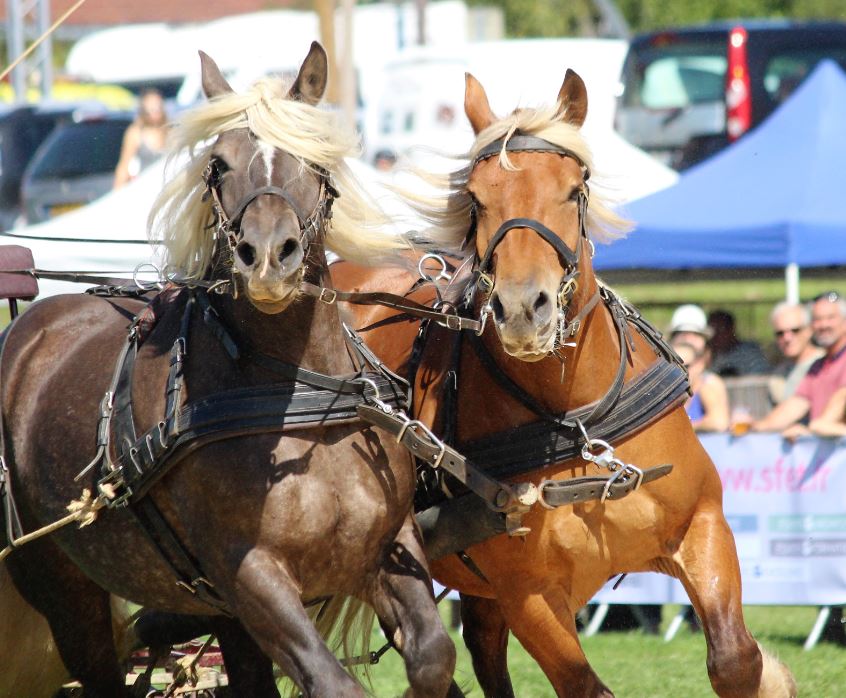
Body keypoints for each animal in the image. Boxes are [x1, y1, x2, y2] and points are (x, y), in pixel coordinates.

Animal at [0, 44, 458, 696]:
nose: (267, 257)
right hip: (63, 586)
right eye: (218, 164)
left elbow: (432, 656)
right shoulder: (249, 574)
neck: (298, 395)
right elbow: (332, 682)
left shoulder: (386, 545)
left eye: (312, 160)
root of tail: (28, 329)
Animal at [332, 70, 800, 696]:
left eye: (574, 190)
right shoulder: (528, 594)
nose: (522, 309)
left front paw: (773, 673)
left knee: (481, 645)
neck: (578, 422)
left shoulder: (702, 525)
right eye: (477, 199)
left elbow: (736, 660)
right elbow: (584, 685)